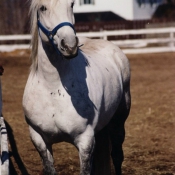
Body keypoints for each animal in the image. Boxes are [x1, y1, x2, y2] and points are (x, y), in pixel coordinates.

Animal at [22, 0, 131, 174]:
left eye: (72, 4)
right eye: (43, 7)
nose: (69, 45)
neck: (53, 89)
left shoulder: (85, 140)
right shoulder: (39, 139)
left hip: (119, 120)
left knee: (117, 155)